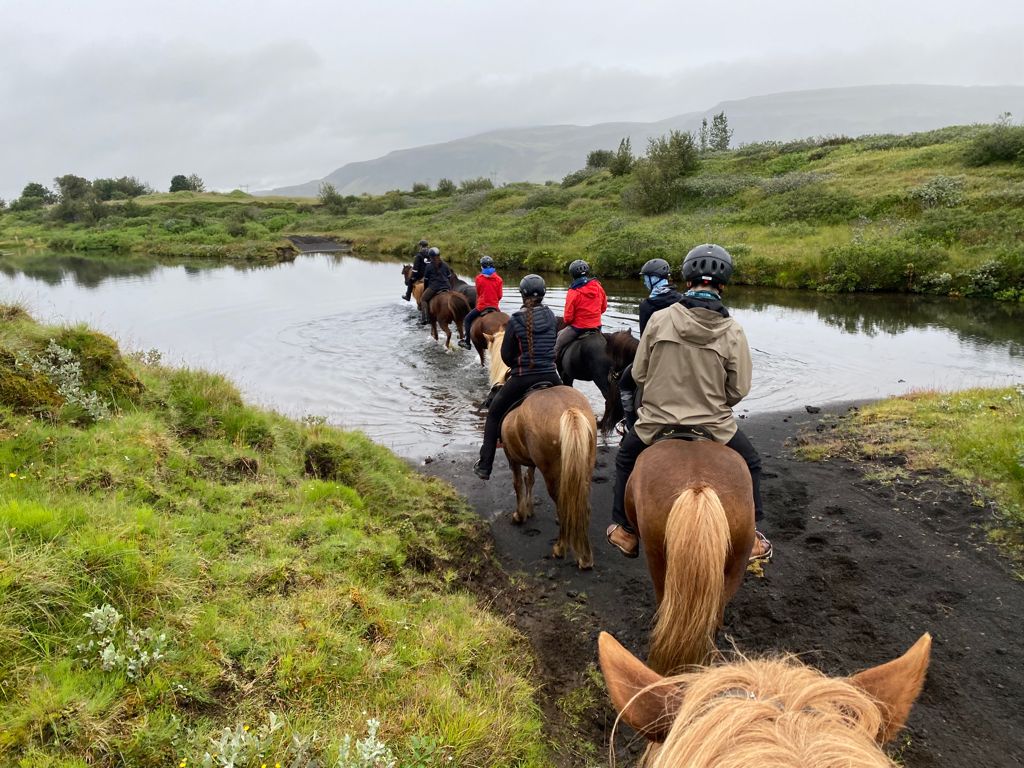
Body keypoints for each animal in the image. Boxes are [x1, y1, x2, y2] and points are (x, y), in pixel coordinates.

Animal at [487, 331, 598, 573]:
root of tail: (570, 411)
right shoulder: (529, 459)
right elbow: (529, 479)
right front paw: (529, 510)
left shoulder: (511, 455)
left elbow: (518, 483)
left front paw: (520, 515)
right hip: (583, 470)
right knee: (583, 506)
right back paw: (585, 557)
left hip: (553, 474)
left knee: (564, 507)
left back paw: (560, 549)